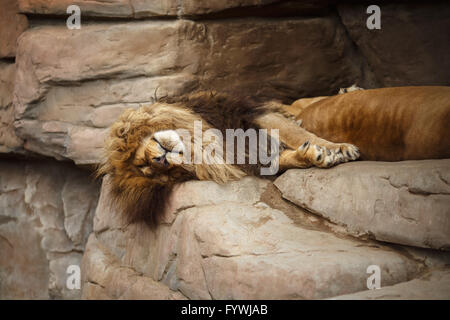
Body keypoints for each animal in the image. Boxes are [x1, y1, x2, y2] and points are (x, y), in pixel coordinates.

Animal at [97, 85, 450, 226]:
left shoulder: (244, 113)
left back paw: (347, 92)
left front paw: (337, 148)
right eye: (160, 174)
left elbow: (294, 130)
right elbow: (282, 157)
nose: (161, 160)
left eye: (142, 162)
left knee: (299, 105)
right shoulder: (248, 153)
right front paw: (315, 157)